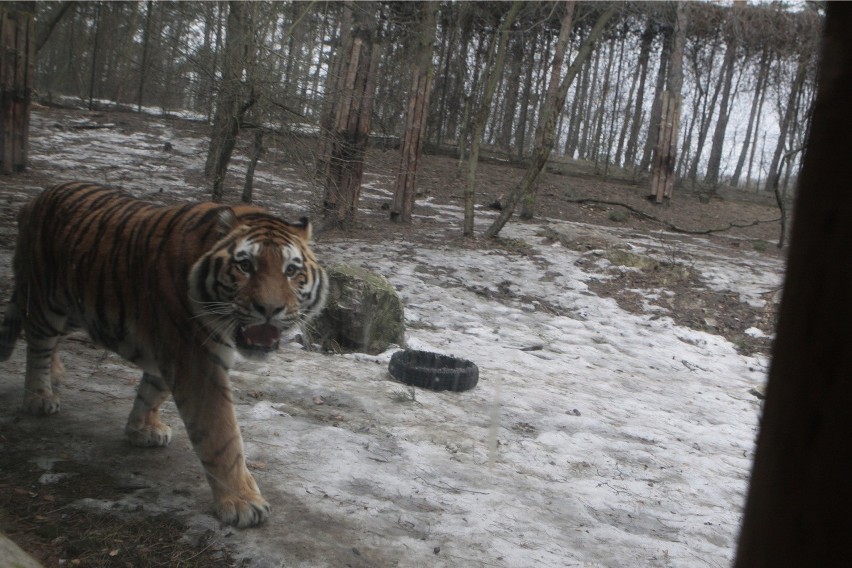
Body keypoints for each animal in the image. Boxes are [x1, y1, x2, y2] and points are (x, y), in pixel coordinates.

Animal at [0, 182, 328, 528]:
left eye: (291, 270)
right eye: (245, 266)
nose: (269, 309)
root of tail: (36, 198)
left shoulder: (170, 349)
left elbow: (153, 391)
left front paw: (142, 429)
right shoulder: (195, 357)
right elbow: (221, 434)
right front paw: (242, 503)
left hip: (77, 308)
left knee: (52, 343)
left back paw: (57, 373)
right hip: (46, 300)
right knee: (37, 343)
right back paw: (39, 397)